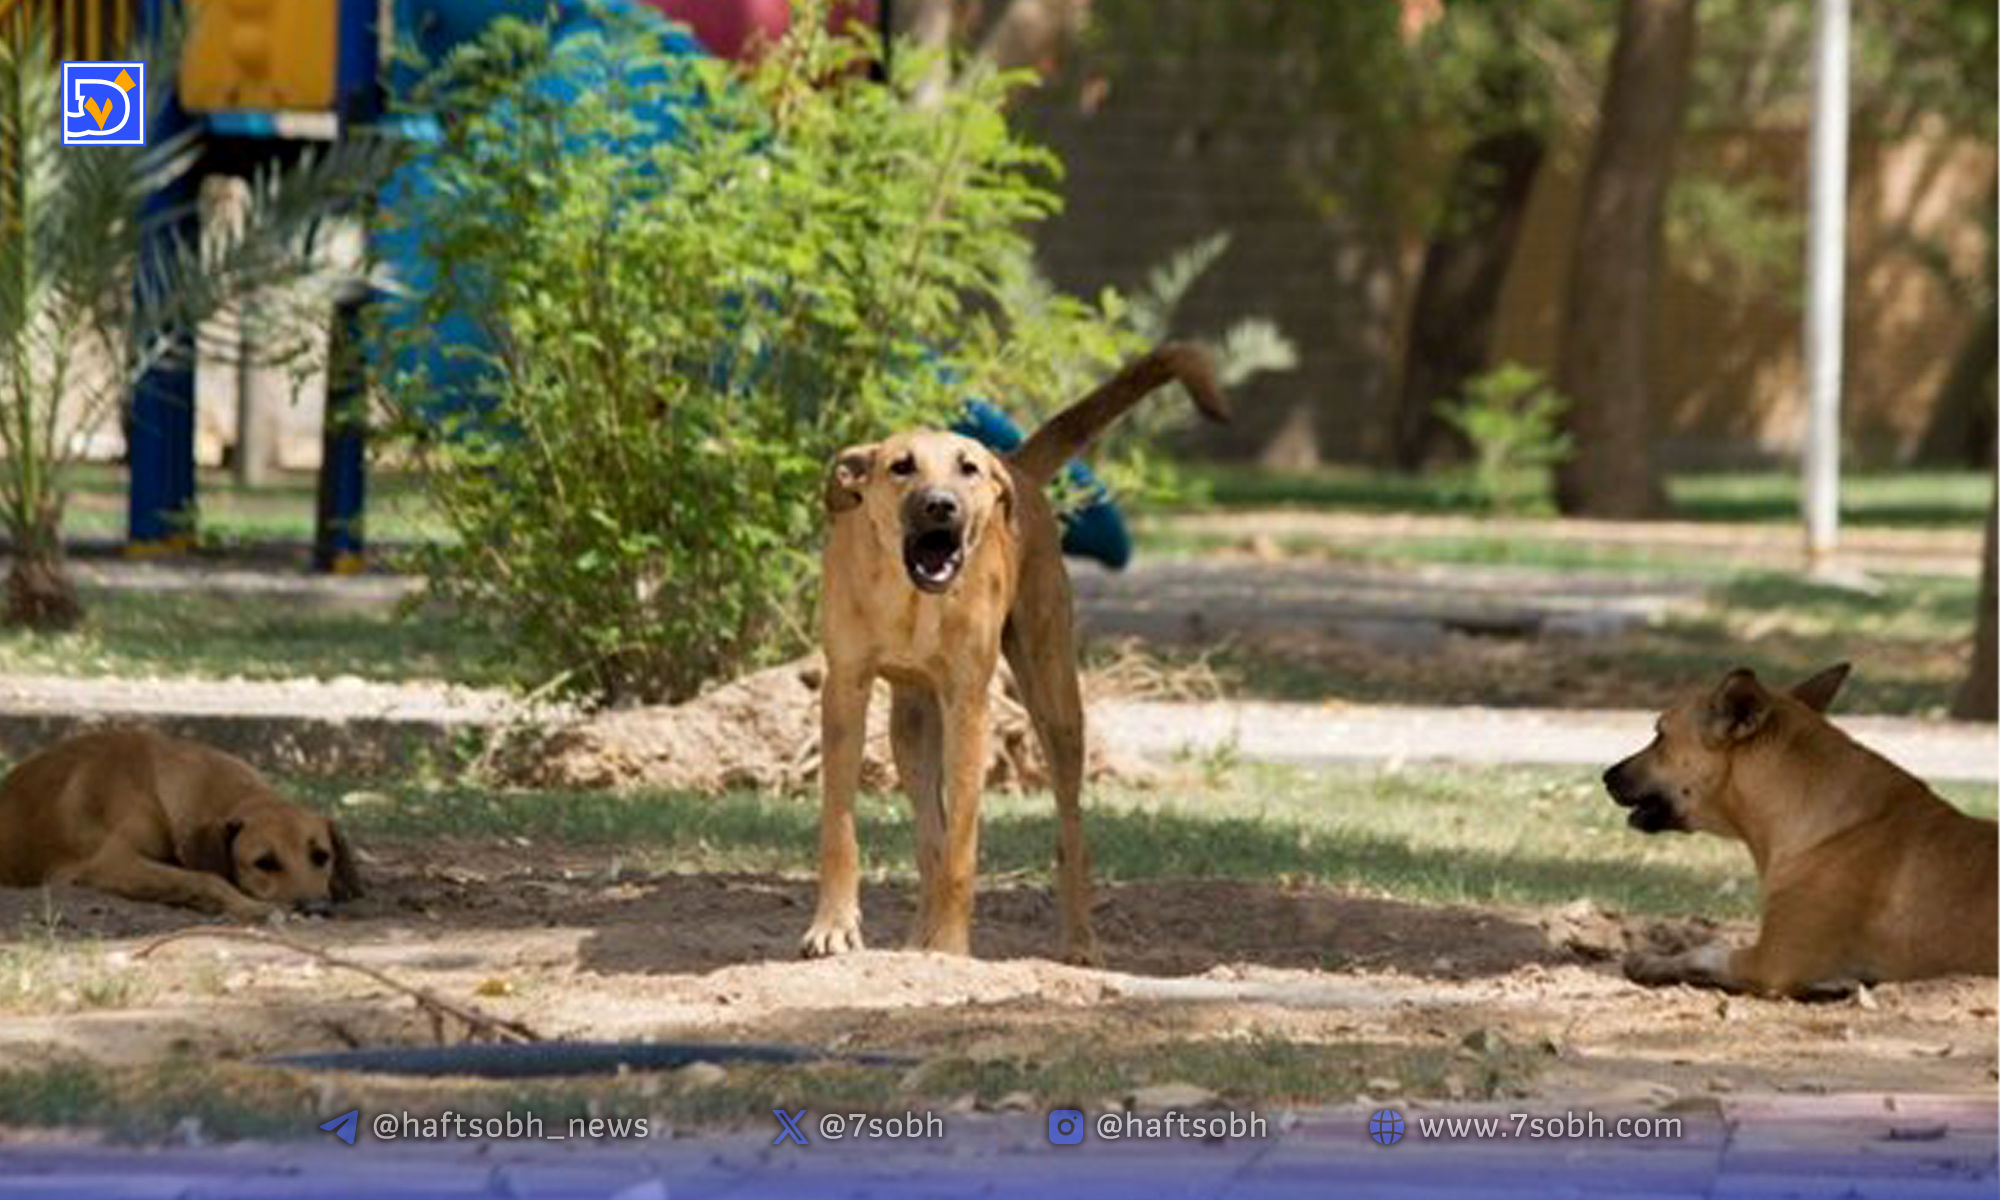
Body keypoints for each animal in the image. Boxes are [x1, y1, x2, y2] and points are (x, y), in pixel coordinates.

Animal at [0, 728, 364, 924]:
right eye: (264, 863)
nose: (318, 909)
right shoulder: (113, 862)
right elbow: (205, 878)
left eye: (321, 856)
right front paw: (250, 907)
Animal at [804, 342, 1224, 960]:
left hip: (1056, 702)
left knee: (1070, 833)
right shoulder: (846, 689)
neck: (912, 600)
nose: (941, 506)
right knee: (929, 834)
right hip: (913, 727)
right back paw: (917, 938)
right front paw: (834, 926)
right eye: (901, 466)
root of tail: (1018, 466)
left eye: (967, 469)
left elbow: (962, 846)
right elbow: (843, 826)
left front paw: (951, 949)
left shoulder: (969, 703)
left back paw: (1079, 943)